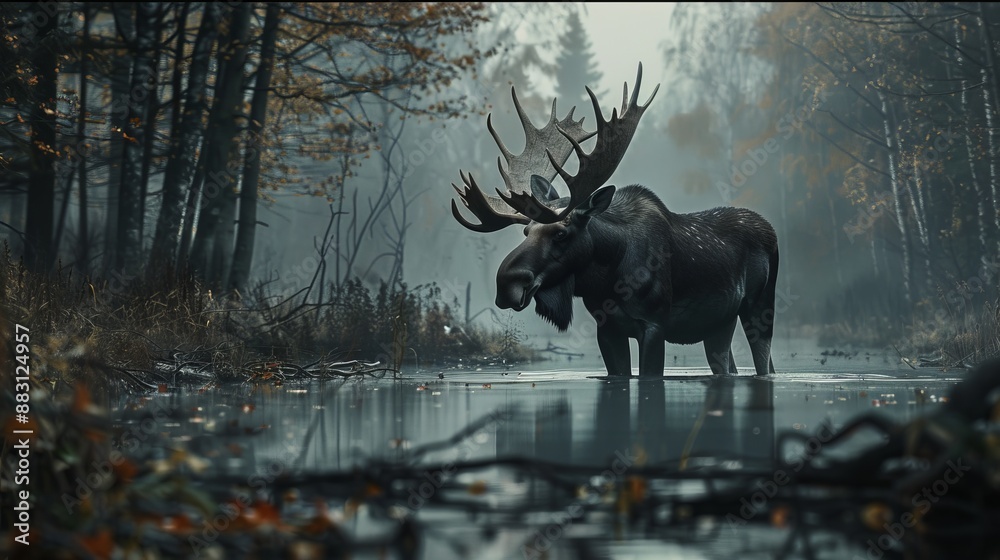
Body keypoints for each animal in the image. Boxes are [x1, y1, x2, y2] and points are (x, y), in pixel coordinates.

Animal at [450, 64, 779, 376]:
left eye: (561, 233)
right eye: (526, 231)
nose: (506, 284)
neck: (606, 279)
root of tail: (770, 228)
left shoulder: (654, 324)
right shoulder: (606, 329)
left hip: (760, 306)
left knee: (764, 363)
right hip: (720, 323)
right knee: (728, 365)